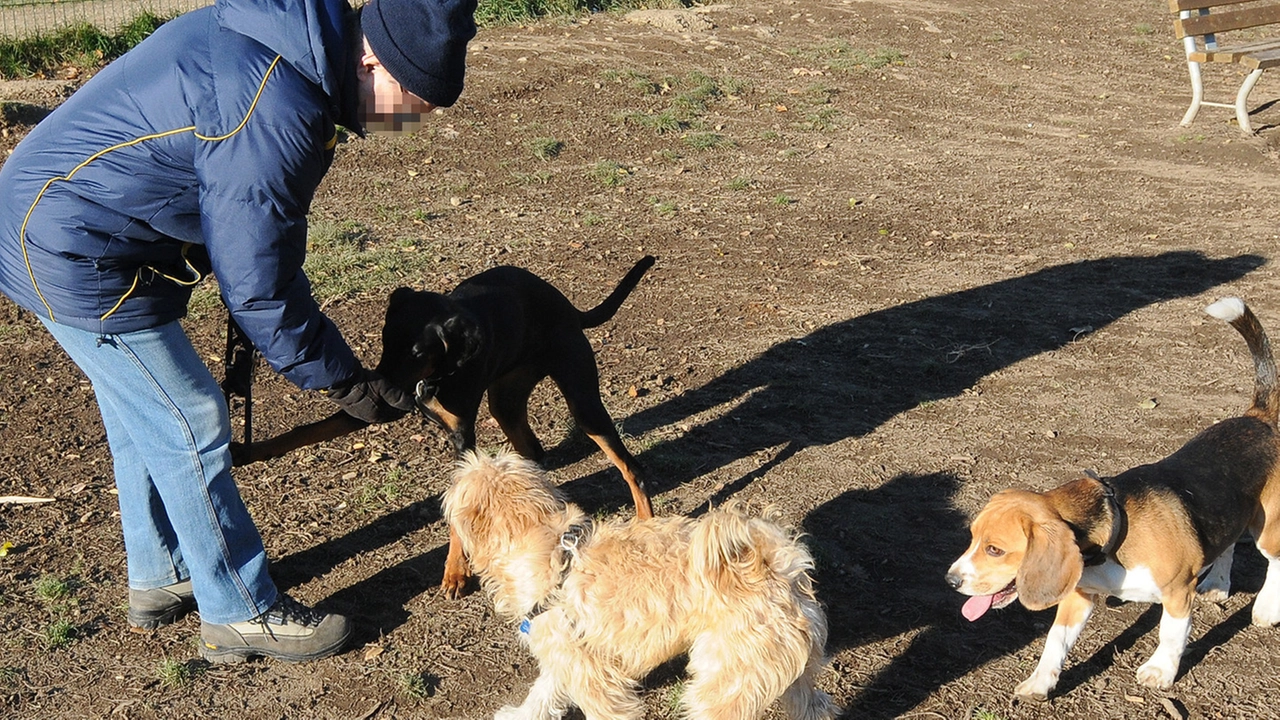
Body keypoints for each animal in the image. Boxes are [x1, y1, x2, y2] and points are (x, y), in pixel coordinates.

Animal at [440, 448, 839, 717]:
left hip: (725, 683)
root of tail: (778, 565)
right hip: (788, 675)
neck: (547, 546)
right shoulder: (567, 656)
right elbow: (543, 693)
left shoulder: (595, 679)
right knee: (815, 705)